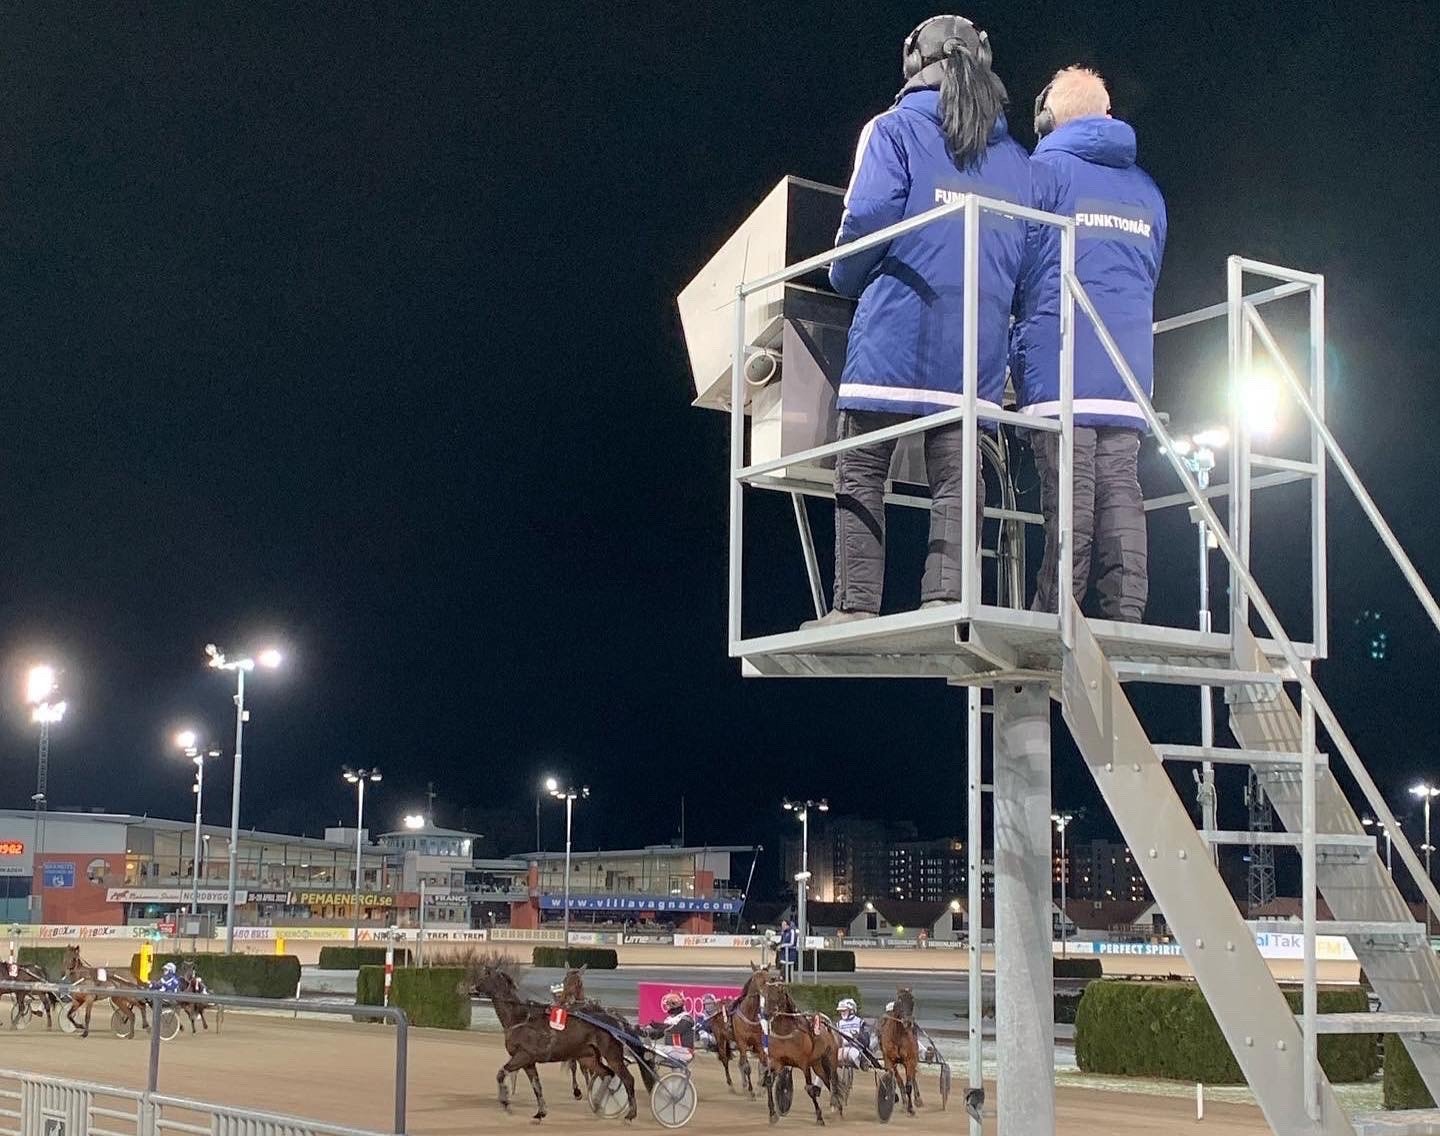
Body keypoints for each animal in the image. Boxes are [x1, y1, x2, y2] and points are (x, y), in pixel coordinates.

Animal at [474, 966, 653, 1121]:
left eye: (484, 976)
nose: (471, 988)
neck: (520, 1018)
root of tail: (615, 1020)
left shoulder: (523, 1056)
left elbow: (501, 1073)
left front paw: (505, 1102)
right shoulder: (528, 1062)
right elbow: (536, 1086)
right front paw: (541, 1112)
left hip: (612, 1054)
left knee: (627, 1079)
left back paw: (630, 1115)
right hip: (588, 1057)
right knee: (607, 1074)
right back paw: (597, 1104)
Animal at [757, 976, 841, 1125]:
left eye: (780, 991)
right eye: (765, 992)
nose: (766, 1013)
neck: (786, 1032)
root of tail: (827, 1024)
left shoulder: (804, 1063)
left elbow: (810, 1089)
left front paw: (819, 1117)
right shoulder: (777, 1062)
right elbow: (768, 1081)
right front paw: (773, 1114)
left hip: (830, 1058)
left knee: (833, 1080)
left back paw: (837, 1108)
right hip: (817, 1064)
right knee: (826, 1080)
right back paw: (837, 1108)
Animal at [879, 987, 924, 1115]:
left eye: (912, 1000)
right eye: (899, 1000)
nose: (908, 1022)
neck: (897, 1037)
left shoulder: (909, 1060)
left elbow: (909, 1085)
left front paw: (910, 1108)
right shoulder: (889, 1060)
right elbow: (897, 1081)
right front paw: (902, 1101)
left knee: (913, 1075)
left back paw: (918, 1099)